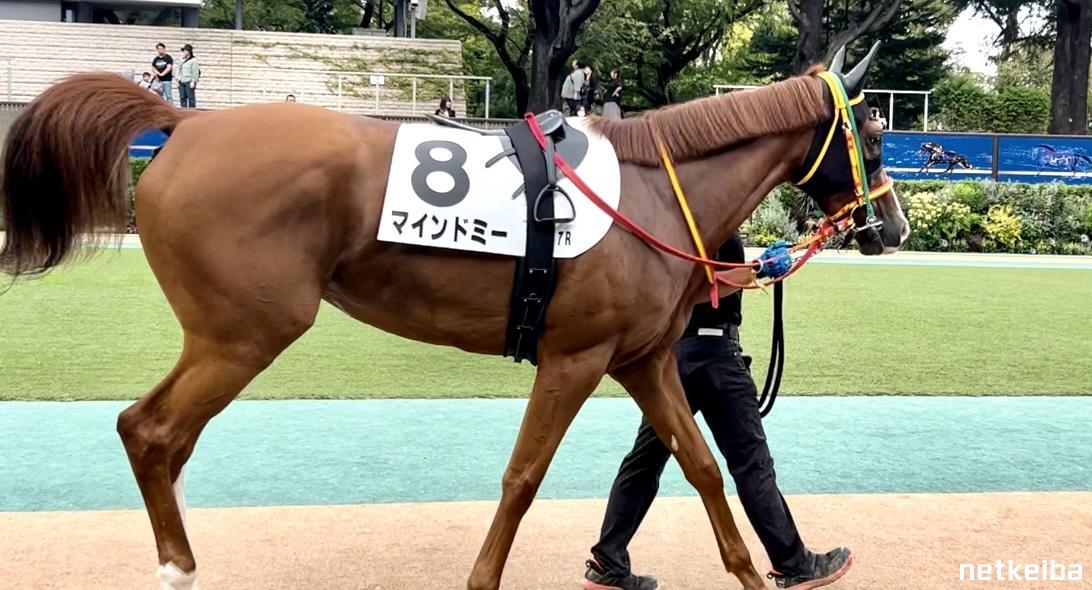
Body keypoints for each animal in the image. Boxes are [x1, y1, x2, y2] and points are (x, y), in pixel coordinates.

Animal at [1, 44, 907, 590]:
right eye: (870, 133)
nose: (894, 227)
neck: (654, 190)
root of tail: (186, 120)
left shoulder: (641, 360)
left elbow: (704, 465)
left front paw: (756, 572)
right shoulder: (574, 358)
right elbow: (523, 476)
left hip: (228, 336)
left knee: (162, 437)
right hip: (244, 333)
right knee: (151, 431)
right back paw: (179, 566)